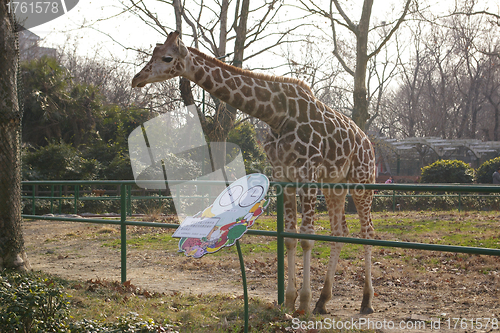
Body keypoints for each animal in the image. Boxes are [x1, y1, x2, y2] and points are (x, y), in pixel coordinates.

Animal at [132, 31, 376, 314]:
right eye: (154, 53)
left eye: (167, 58)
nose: (136, 79)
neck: (277, 115)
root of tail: (368, 142)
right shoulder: (284, 176)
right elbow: (290, 237)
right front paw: (290, 300)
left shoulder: (307, 173)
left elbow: (306, 237)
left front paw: (303, 303)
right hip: (335, 185)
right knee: (340, 232)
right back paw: (323, 300)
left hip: (362, 181)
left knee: (367, 232)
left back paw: (366, 301)